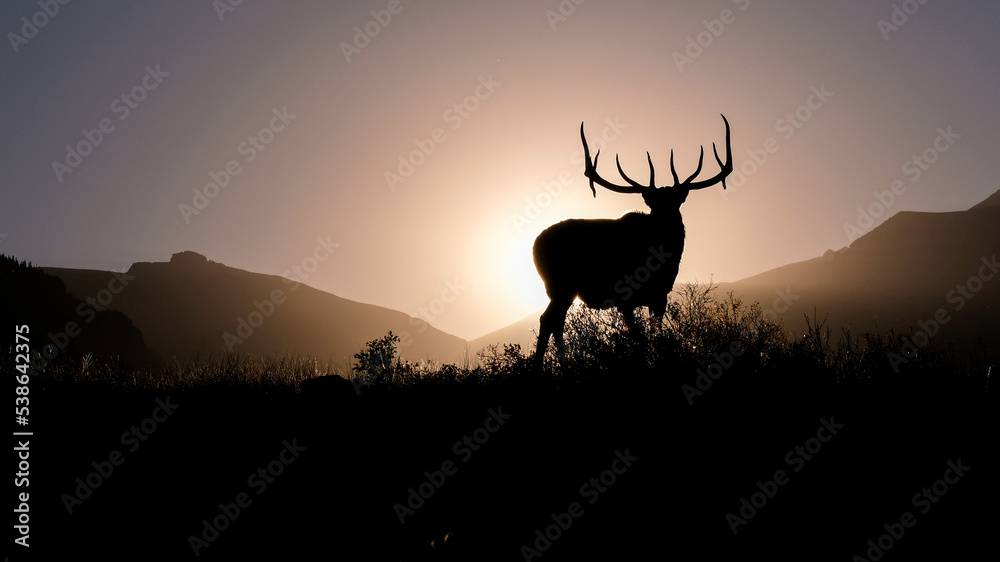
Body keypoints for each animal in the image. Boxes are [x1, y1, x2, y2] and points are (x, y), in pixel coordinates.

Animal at [531, 114, 733, 367]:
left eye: (677, 201)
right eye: (653, 204)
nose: (668, 225)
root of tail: (534, 245)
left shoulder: (660, 296)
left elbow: (655, 335)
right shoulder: (624, 296)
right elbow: (639, 339)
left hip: (562, 290)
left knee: (555, 321)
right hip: (560, 284)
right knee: (548, 319)